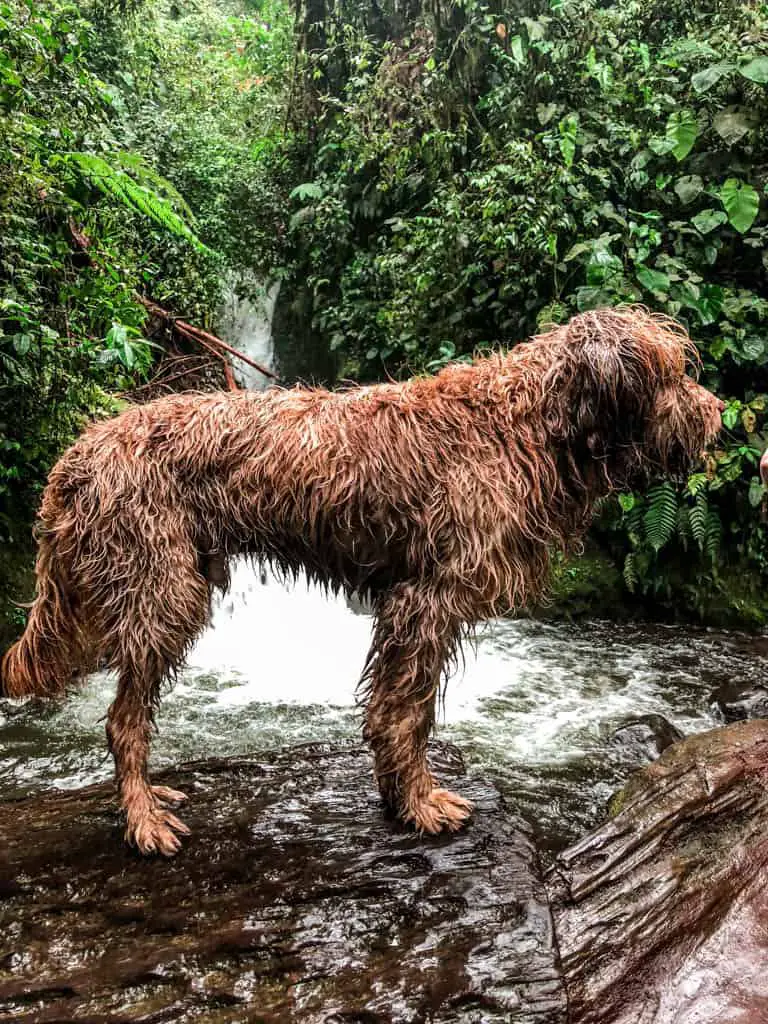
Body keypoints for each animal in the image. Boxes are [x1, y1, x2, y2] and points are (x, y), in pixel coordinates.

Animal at [1, 305, 720, 856]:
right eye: (674, 373)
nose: (718, 415)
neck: (526, 422)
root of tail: (81, 450)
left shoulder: (417, 602)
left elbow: (403, 709)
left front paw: (400, 796)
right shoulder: (427, 600)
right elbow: (405, 714)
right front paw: (418, 802)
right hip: (163, 592)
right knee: (122, 720)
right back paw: (143, 817)